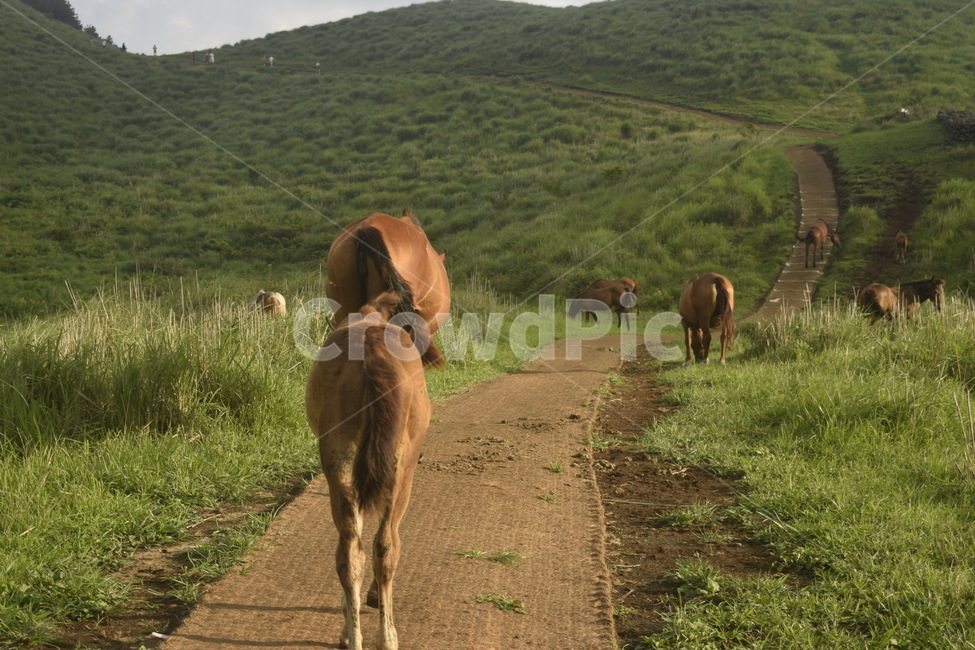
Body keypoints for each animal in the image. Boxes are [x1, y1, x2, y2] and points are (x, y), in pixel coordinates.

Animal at [305, 292, 438, 650]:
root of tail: (369, 352)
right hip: (399, 471)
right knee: (386, 545)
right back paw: (387, 635)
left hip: (338, 459)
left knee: (350, 548)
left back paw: (352, 636)